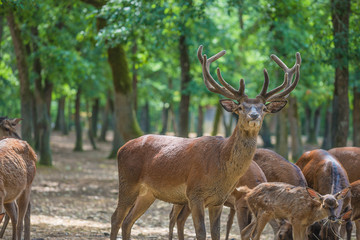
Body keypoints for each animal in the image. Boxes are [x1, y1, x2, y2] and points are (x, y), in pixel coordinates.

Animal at [109, 45, 300, 240]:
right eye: (240, 107)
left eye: (263, 109)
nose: (253, 116)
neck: (220, 166)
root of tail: (121, 148)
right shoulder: (195, 193)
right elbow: (201, 232)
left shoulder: (218, 201)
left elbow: (216, 233)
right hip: (127, 181)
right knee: (116, 217)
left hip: (148, 193)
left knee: (128, 221)